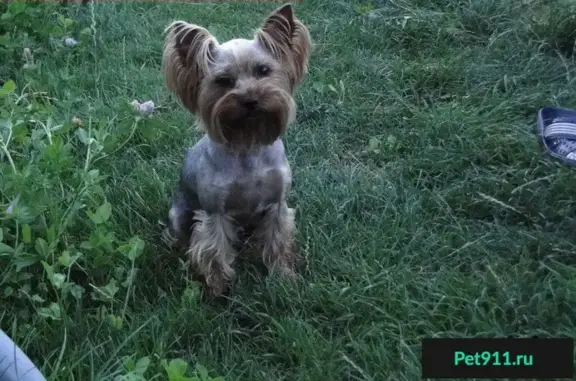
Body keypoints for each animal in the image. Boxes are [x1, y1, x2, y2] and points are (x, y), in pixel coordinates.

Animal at [161, 2, 310, 296]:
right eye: (224, 81)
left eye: (263, 71)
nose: (251, 99)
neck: (247, 142)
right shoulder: (214, 213)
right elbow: (213, 249)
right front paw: (219, 288)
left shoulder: (277, 204)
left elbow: (278, 241)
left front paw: (284, 276)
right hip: (180, 213)